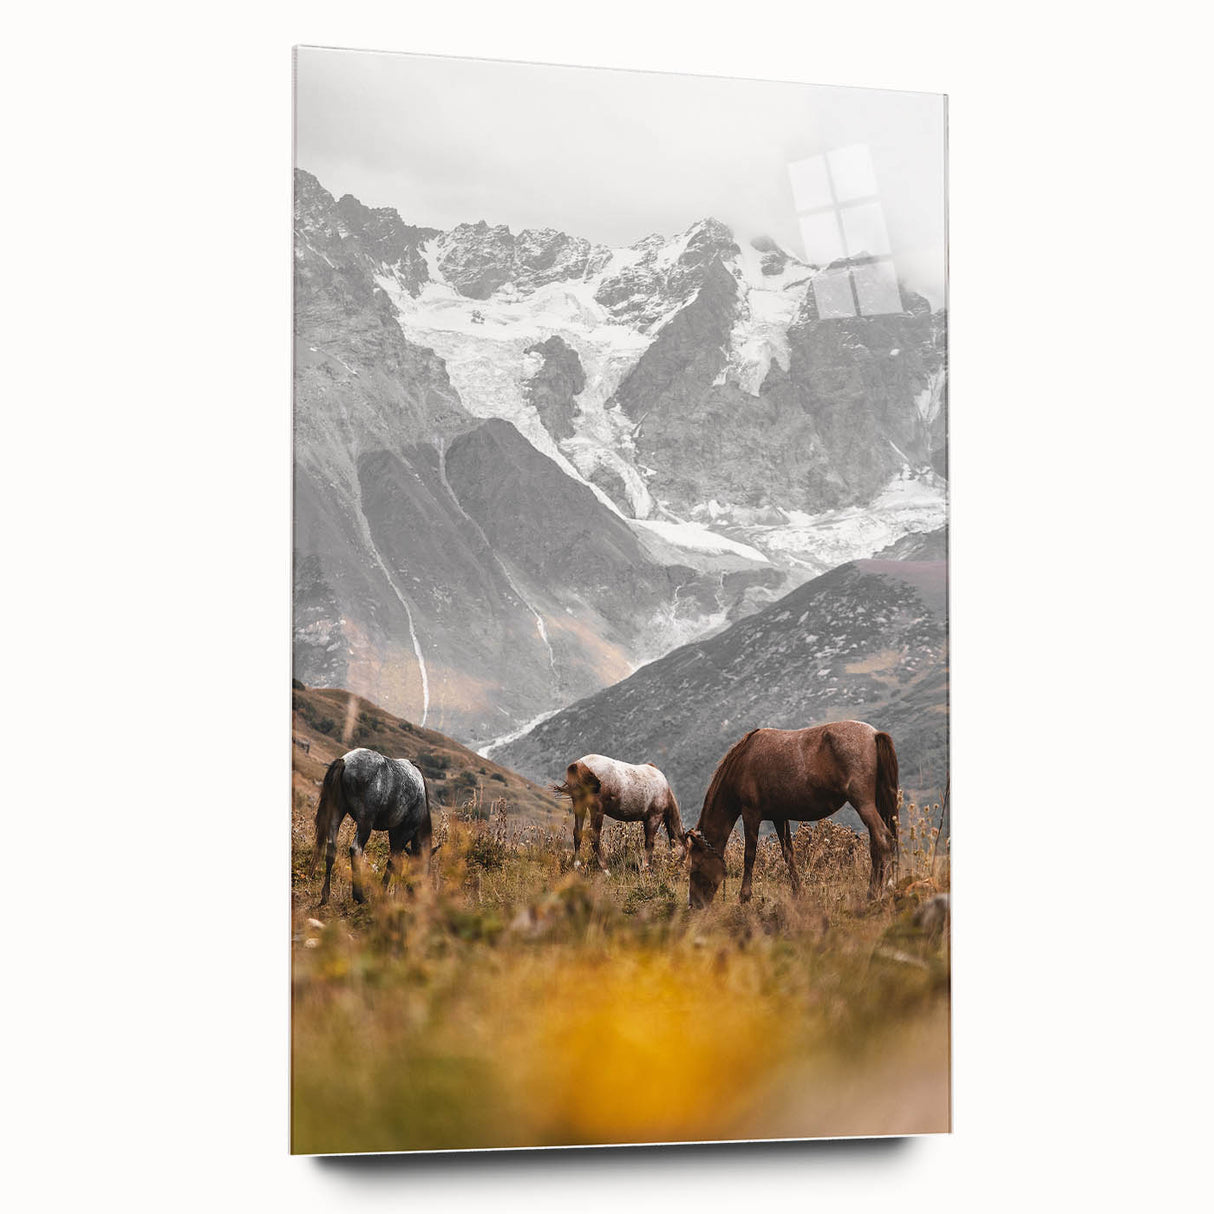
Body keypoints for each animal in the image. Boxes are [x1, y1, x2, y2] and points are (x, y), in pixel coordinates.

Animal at [310, 747, 439, 905]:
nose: (416, 896)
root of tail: (345, 761)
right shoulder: (404, 832)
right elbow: (393, 862)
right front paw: (382, 893)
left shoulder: (394, 832)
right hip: (365, 821)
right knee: (356, 849)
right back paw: (359, 896)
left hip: (336, 811)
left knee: (331, 847)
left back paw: (325, 896)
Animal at [553, 755, 685, 872]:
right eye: (685, 853)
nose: (680, 871)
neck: (665, 790)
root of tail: (579, 764)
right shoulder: (654, 817)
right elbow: (649, 843)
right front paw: (646, 868)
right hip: (597, 810)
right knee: (594, 837)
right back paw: (605, 870)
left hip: (579, 804)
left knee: (577, 832)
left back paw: (577, 865)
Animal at [684, 722, 900, 907]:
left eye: (695, 868)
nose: (694, 905)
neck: (743, 761)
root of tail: (874, 734)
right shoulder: (779, 817)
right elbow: (788, 853)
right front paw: (798, 893)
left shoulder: (750, 813)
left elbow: (749, 855)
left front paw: (744, 897)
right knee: (876, 845)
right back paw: (874, 893)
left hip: (863, 803)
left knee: (883, 839)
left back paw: (882, 892)